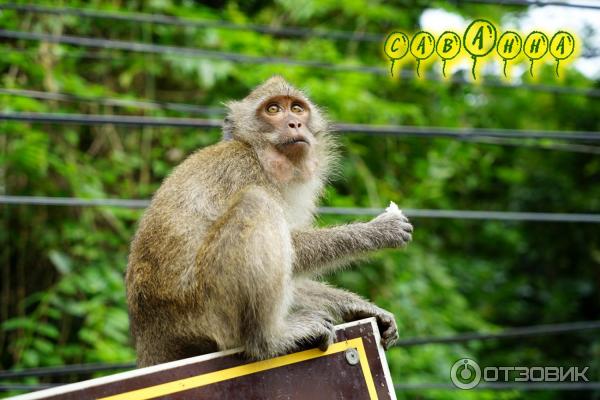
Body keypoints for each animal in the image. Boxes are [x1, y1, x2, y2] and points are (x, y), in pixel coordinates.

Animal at [126, 76, 412, 368]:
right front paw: (378, 231)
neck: (259, 154)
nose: (295, 123)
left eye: (297, 109)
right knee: (257, 204)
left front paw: (359, 306)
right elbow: (293, 248)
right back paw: (268, 340)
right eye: (273, 110)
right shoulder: (244, 171)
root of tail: (150, 339)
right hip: (208, 310)